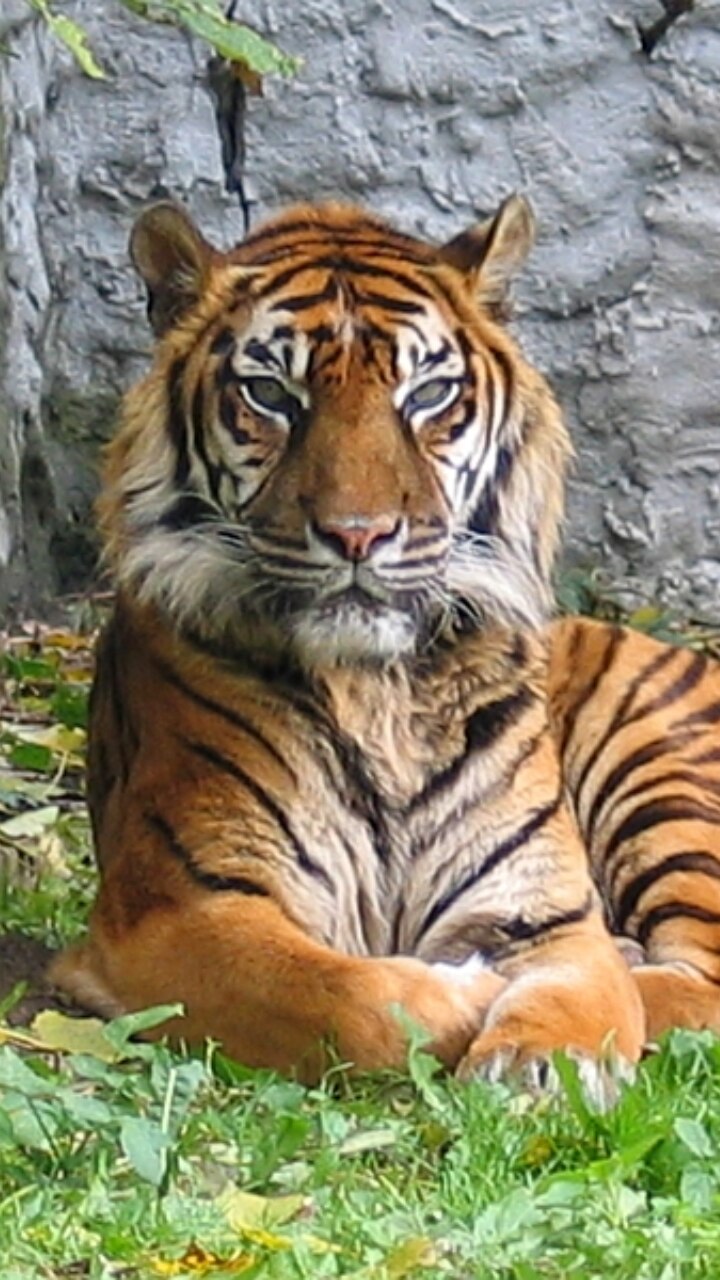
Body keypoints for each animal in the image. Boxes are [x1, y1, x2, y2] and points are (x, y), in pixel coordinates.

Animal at [50, 194, 720, 1090]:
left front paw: (539, 1062)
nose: (358, 535)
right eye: (270, 393)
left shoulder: (546, 910)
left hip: (659, 766)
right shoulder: (178, 906)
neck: (378, 691)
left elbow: (584, 990)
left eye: (428, 394)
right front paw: (468, 995)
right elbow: (347, 995)